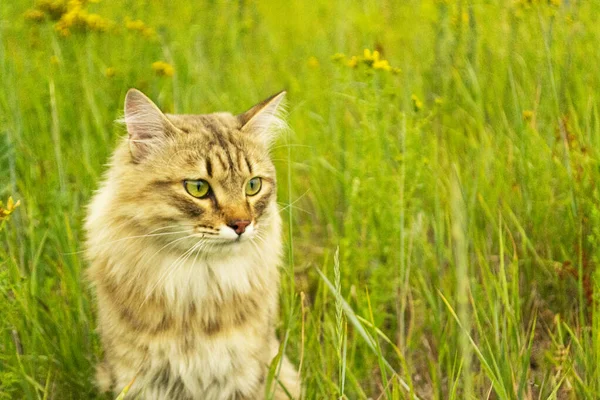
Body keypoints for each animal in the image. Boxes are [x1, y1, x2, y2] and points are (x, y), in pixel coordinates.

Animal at [84, 89, 300, 398]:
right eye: (198, 188)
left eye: (253, 186)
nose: (242, 224)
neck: (198, 282)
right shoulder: (140, 377)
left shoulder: (245, 376)